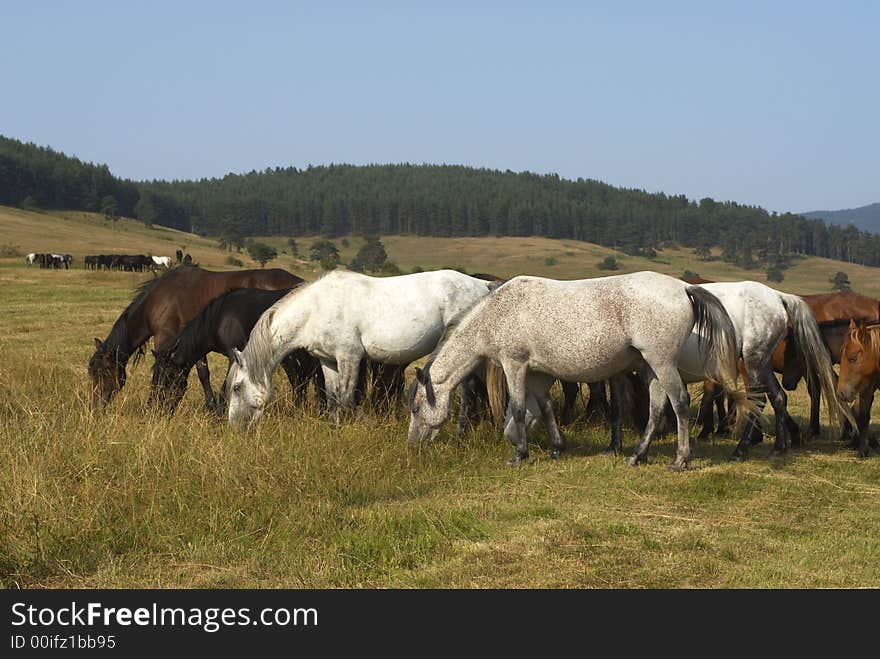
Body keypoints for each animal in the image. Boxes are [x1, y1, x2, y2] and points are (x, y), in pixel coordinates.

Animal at [88, 264, 304, 410]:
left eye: (103, 373)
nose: (95, 407)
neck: (158, 300)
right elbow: (203, 374)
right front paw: (211, 407)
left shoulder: (165, 339)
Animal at [227, 270, 496, 428]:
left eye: (236, 387)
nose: (234, 427)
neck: (316, 308)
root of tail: (483, 284)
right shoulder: (329, 361)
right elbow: (333, 397)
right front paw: (334, 429)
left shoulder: (350, 356)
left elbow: (347, 398)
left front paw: (373, 426)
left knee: (469, 389)